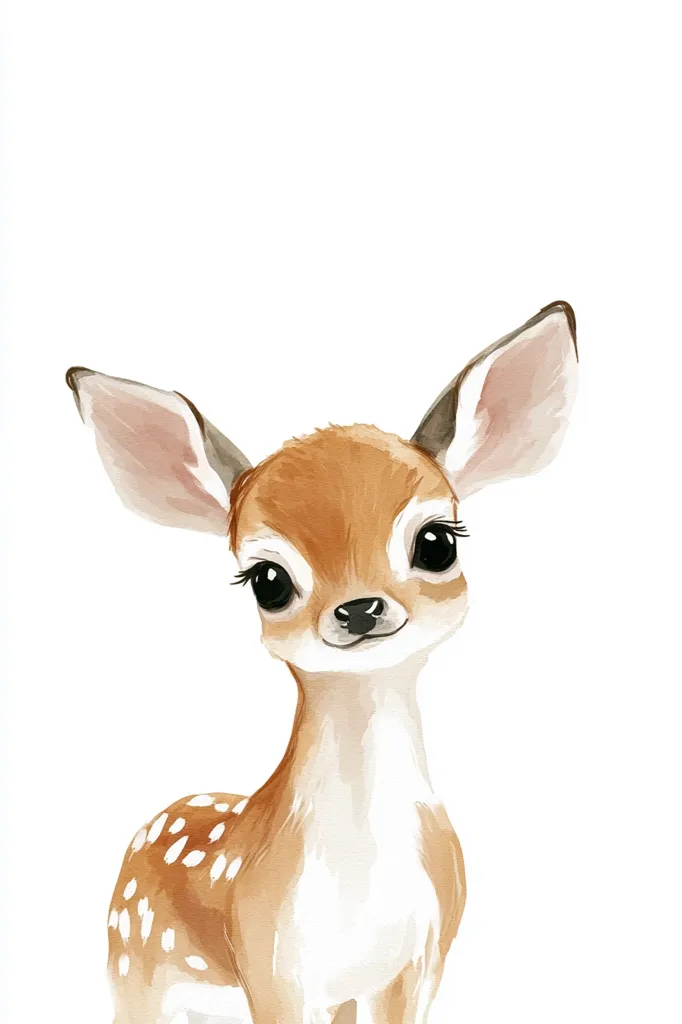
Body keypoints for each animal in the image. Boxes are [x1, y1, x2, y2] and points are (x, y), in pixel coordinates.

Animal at [66, 300, 578, 1024]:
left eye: (437, 541)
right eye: (268, 580)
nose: (359, 608)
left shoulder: (422, 959)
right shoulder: (270, 964)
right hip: (132, 961)